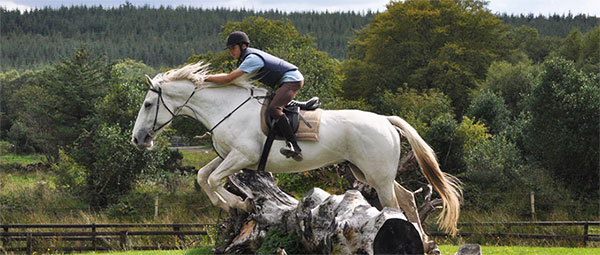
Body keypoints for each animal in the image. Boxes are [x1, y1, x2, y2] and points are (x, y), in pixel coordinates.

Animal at [130, 61, 460, 251]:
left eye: (147, 104)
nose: (137, 139)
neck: (224, 109)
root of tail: (385, 120)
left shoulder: (241, 156)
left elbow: (212, 180)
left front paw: (236, 203)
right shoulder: (229, 156)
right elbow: (204, 177)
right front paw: (237, 203)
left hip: (376, 175)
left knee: (392, 204)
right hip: (367, 171)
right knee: (406, 198)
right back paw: (423, 240)